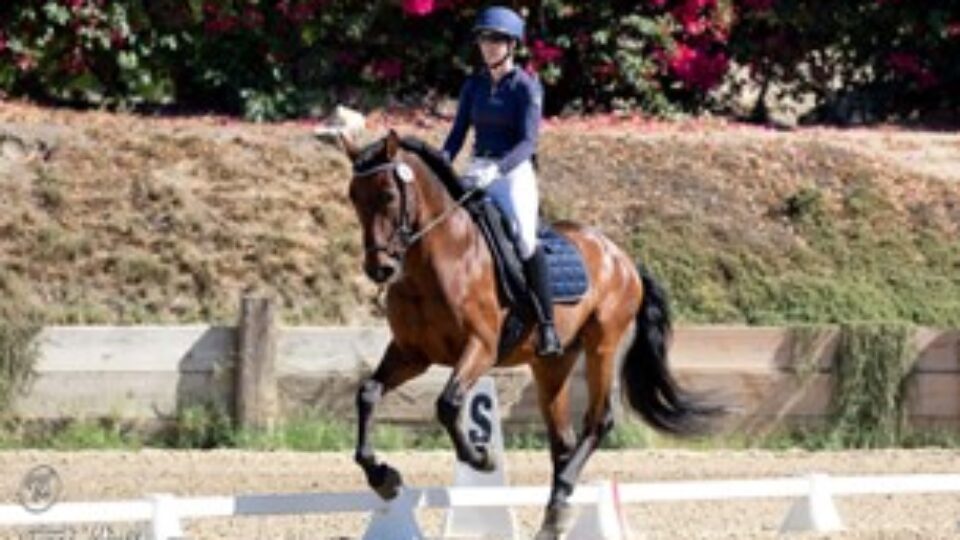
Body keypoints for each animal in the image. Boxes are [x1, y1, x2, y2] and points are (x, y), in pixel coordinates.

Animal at [342, 130, 718, 537]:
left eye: (388, 195)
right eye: (353, 196)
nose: (379, 268)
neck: (438, 260)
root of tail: (622, 258)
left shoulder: (481, 348)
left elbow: (448, 403)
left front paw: (482, 458)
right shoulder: (412, 353)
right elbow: (368, 393)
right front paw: (382, 476)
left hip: (602, 345)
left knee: (598, 421)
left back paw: (562, 492)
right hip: (552, 364)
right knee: (563, 440)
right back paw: (555, 514)